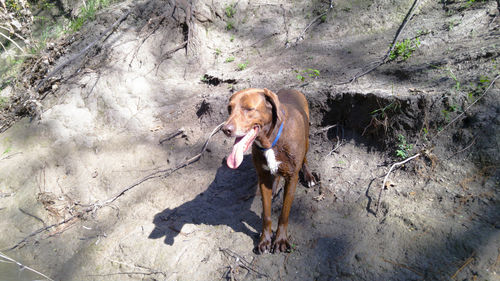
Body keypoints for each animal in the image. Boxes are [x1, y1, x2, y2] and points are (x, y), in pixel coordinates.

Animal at [224, 88, 316, 254]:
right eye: (229, 108)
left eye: (249, 109)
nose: (225, 129)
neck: (270, 141)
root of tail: (292, 89)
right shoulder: (263, 177)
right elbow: (266, 215)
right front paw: (264, 240)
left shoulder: (292, 178)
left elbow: (284, 214)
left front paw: (280, 240)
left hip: (306, 141)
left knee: (304, 159)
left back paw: (308, 176)